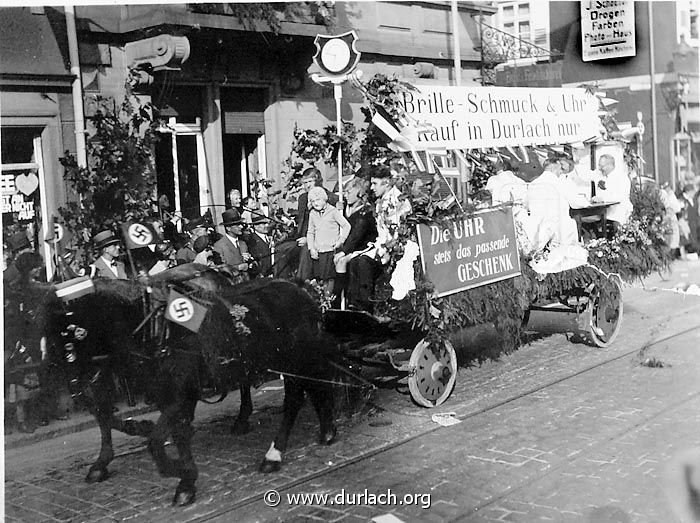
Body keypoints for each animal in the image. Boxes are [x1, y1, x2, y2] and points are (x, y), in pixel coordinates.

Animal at [37, 268, 340, 506]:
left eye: (74, 332)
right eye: (45, 333)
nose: (76, 389)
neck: (155, 327)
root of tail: (300, 287)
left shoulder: (179, 394)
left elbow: (155, 441)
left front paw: (177, 471)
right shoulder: (166, 395)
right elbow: (173, 433)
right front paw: (186, 480)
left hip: (296, 360)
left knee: (295, 399)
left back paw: (275, 454)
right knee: (312, 388)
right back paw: (325, 430)